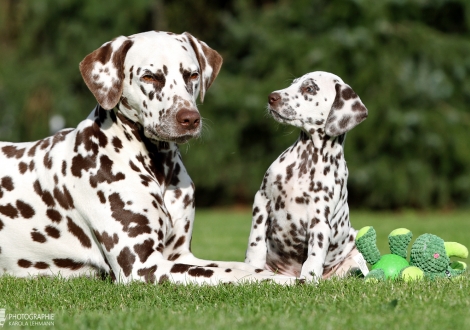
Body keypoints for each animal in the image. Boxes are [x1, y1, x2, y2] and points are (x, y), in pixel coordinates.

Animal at [0, 30, 294, 284]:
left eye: (192, 75)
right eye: (150, 77)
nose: (189, 119)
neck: (158, 167)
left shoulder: (181, 255)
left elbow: (238, 267)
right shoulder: (143, 266)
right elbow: (236, 274)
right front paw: (284, 280)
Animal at [244, 71, 370, 282]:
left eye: (309, 88)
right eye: (293, 83)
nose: (272, 97)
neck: (306, 161)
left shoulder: (320, 220)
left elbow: (314, 255)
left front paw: (309, 278)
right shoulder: (262, 198)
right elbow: (256, 240)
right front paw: (252, 265)